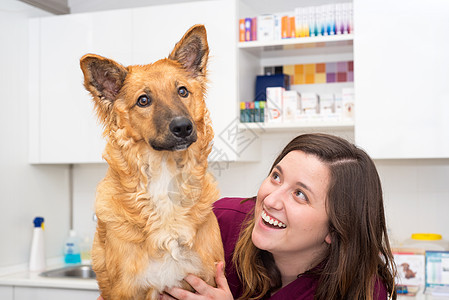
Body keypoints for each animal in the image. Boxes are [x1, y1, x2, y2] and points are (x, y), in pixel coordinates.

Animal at [80, 25, 224, 300]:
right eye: (143, 100)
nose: (183, 127)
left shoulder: (206, 279)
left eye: (182, 91)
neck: (165, 175)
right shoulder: (127, 290)